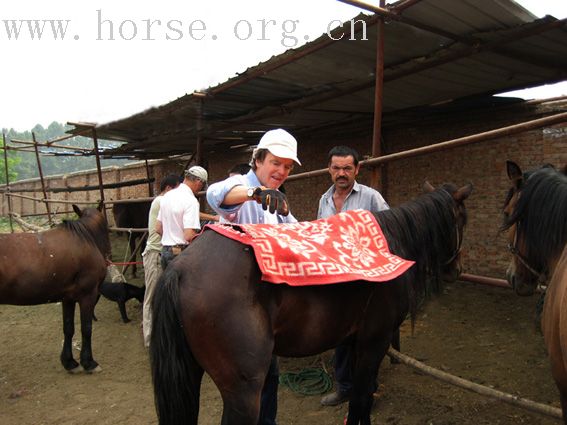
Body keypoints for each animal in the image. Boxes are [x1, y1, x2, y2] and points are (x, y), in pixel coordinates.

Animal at [0, 202, 111, 372]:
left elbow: (68, 328)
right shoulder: (88, 295)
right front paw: (89, 362)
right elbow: (86, 329)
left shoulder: (68, 298)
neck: (86, 239)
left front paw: (69, 361)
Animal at [149, 181, 472, 424]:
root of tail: (180, 269)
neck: (391, 246)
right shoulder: (374, 342)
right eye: (463, 219)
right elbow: (362, 399)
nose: (455, 270)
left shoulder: (356, 342)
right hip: (243, 391)